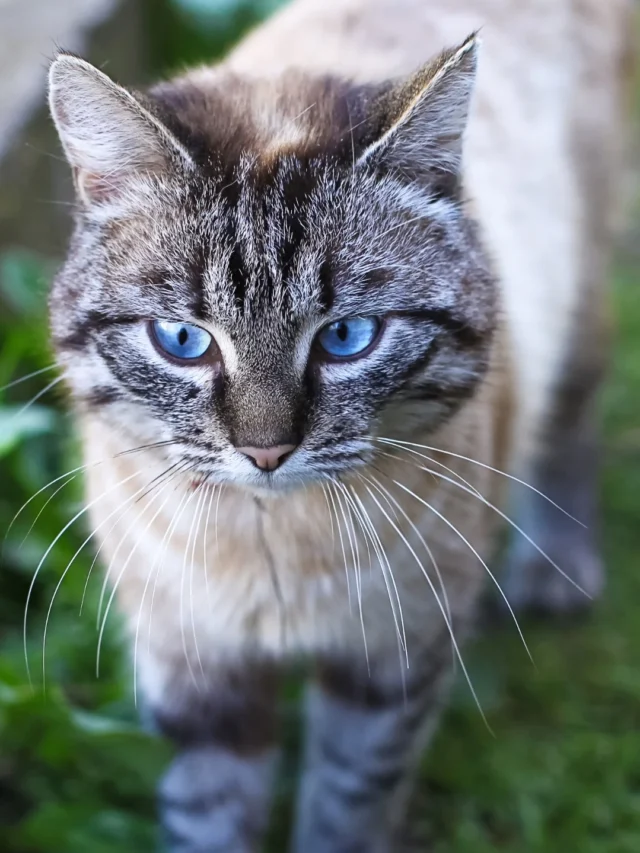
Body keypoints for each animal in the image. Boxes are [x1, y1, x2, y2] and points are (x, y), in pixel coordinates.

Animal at [46, 0, 632, 848]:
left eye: (346, 338)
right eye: (182, 340)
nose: (265, 451)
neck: (269, 543)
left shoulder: (389, 664)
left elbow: (346, 803)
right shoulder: (197, 675)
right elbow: (206, 817)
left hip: (582, 289)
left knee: (578, 402)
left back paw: (557, 570)